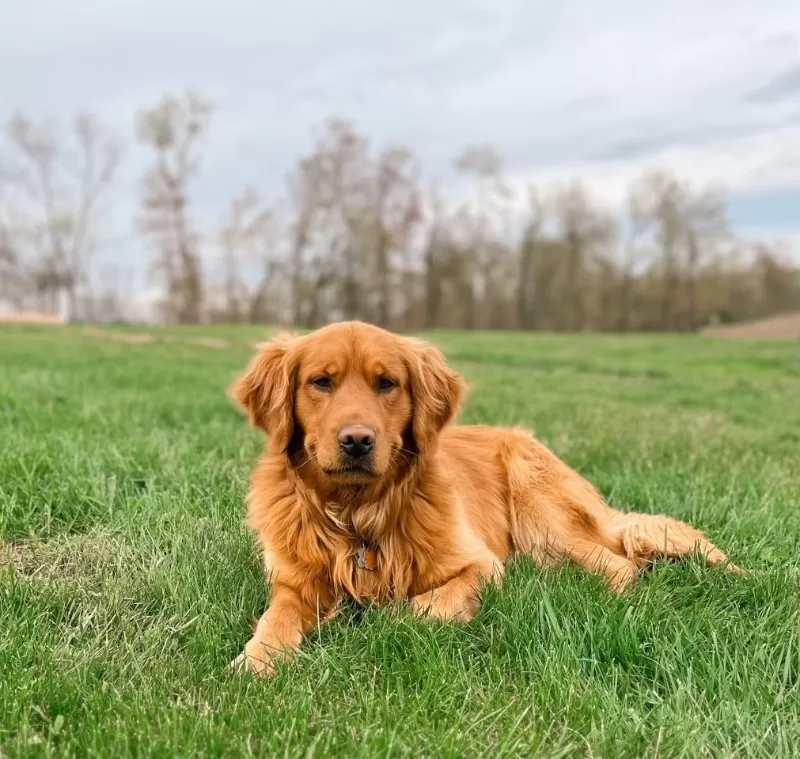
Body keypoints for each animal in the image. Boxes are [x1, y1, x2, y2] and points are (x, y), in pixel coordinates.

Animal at [228, 320, 740, 676]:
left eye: (386, 383)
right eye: (321, 382)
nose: (357, 441)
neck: (358, 515)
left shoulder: (480, 566)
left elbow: (414, 612)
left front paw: (376, 624)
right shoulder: (295, 582)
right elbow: (276, 618)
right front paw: (257, 660)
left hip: (540, 513)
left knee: (619, 563)